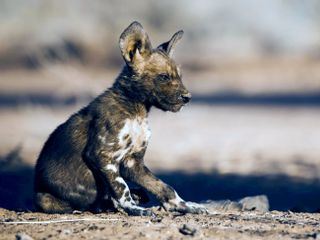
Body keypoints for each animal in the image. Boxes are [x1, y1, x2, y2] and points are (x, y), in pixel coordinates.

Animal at [33, 21, 206, 216]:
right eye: (163, 77)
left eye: (180, 77)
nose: (187, 97)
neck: (137, 111)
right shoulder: (102, 156)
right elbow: (122, 189)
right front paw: (135, 209)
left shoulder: (132, 162)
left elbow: (163, 187)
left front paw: (183, 205)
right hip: (44, 199)